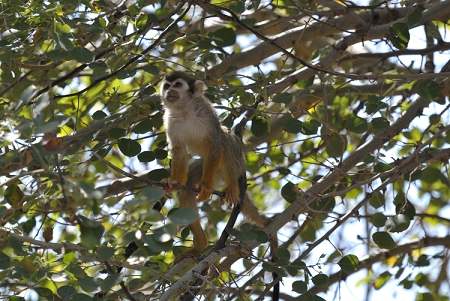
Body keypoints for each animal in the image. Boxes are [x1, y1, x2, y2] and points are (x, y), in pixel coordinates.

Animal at [160, 71, 270, 262]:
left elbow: (216, 144)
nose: (170, 92)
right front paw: (173, 181)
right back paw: (200, 245)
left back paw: (232, 187)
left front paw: (205, 186)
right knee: (186, 192)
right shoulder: (170, 120)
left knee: (225, 141)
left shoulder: (206, 112)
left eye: (178, 85)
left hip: (235, 162)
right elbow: (179, 150)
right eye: (167, 86)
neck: (184, 110)